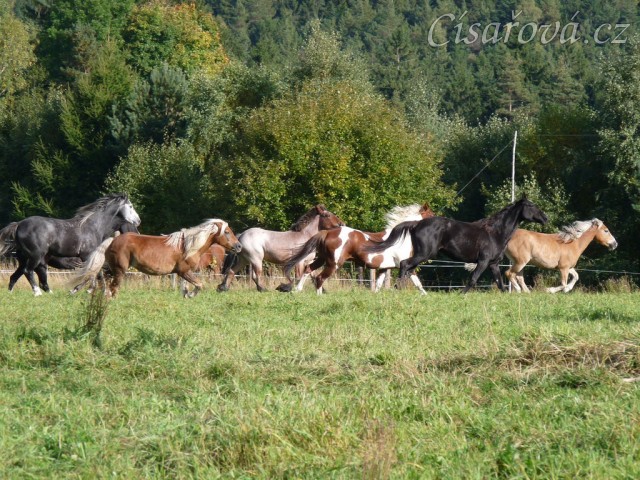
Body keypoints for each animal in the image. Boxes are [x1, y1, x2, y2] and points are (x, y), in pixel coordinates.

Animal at [0, 194, 141, 296]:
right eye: (131, 206)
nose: (138, 221)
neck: (94, 227)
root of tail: (19, 225)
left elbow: (95, 275)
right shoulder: (86, 256)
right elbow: (93, 274)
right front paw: (77, 290)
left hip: (27, 260)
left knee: (15, 276)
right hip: (36, 256)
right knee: (28, 272)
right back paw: (38, 293)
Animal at [72, 219, 241, 298]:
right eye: (227, 232)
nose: (239, 246)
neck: (188, 246)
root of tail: (113, 240)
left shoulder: (185, 273)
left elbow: (187, 286)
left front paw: (186, 294)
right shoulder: (184, 271)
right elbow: (199, 284)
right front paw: (191, 295)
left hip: (113, 268)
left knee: (98, 276)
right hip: (119, 269)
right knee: (111, 287)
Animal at [279, 203, 435, 294]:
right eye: (432, 215)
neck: (402, 237)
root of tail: (327, 232)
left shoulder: (385, 268)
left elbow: (378, 285)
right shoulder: (407, 264)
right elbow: (418, 283)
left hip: (322, 259)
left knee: (308, 270)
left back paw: (297, 290)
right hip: (333, 264)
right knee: (319, 278)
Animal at [365, 197, 548, 293]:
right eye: (531, 206)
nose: (545, 218)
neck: (495, 232)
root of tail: (416, 224)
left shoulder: (493, 264)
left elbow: (500, 283)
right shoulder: (483, 261)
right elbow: (473, 279)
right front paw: (462, 294)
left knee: (408, 269)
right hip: (424, 254)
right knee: (405, 265)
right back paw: (399, 289)